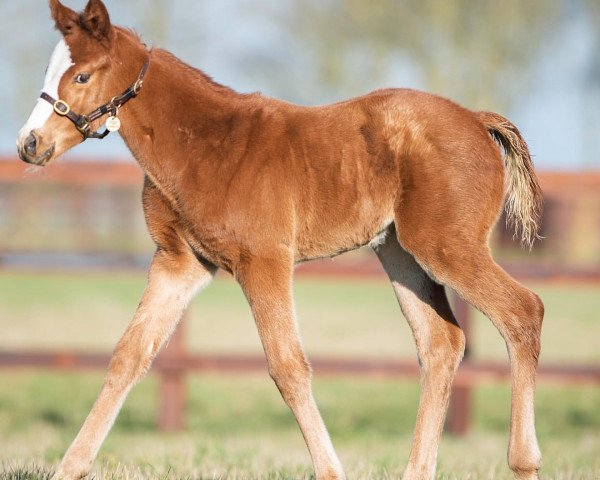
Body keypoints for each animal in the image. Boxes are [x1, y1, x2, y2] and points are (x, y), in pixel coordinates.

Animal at [17, 1, 544, 478]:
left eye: (82, 77)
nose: (29, 144)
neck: (205, 146)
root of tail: (476, 119)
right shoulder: (179, 263)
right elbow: (129, 354)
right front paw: (69, 468)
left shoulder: (264, 260)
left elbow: (287, 365)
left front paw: (330, 471)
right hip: (401, 252)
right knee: (441, 343)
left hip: (445, 245)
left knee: (523, 312)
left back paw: (524, 462)